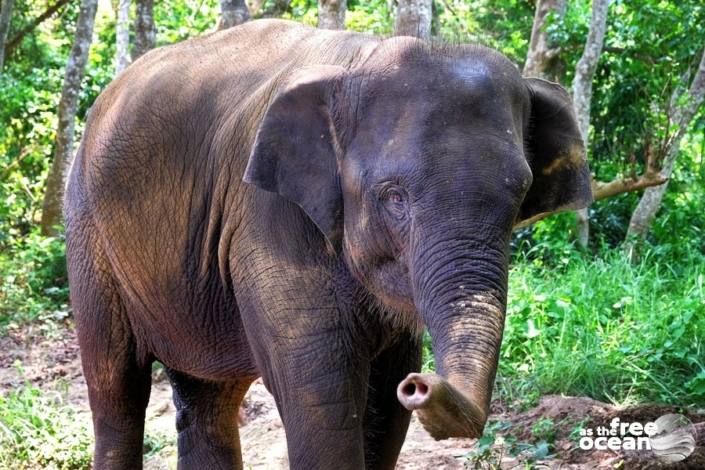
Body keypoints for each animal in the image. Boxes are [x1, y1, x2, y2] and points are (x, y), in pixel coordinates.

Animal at [63, 16, 592, 468]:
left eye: (520, 195)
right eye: (394, 197)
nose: (421, 386)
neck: (360, 57)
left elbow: (384, 397)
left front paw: (395, 383)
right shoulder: (266, 218)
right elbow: (322, 393)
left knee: (206, 399)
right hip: (87, 235)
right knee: (116, 388)